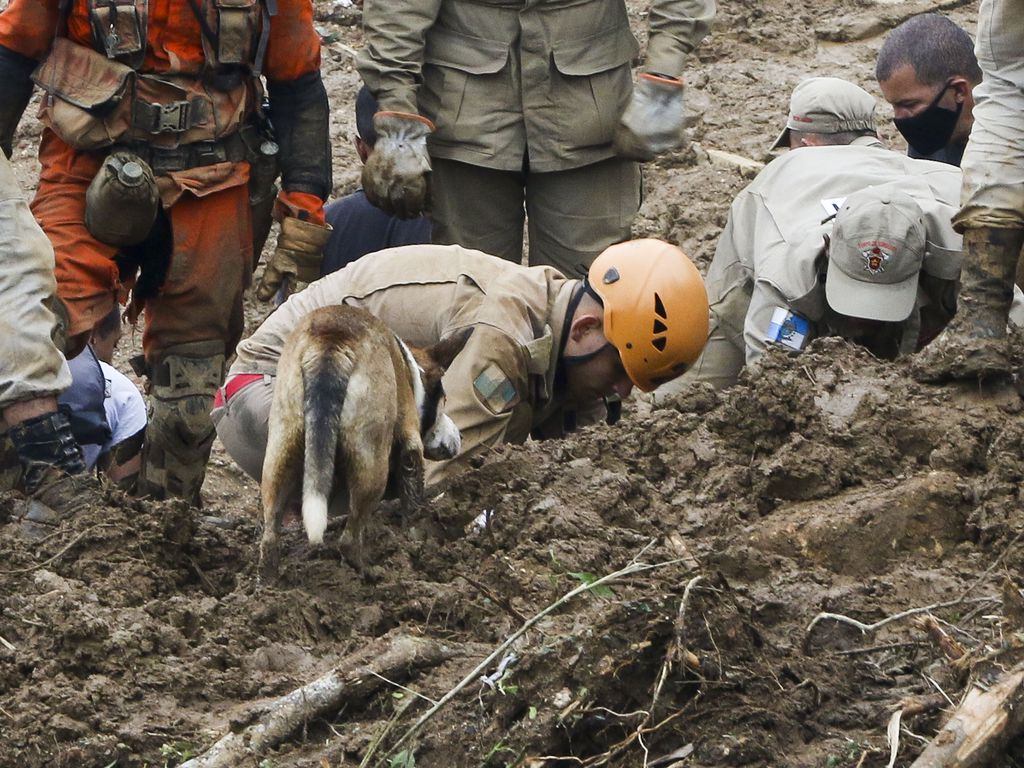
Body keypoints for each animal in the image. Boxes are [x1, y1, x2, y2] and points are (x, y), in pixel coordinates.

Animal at [260, 303, 475, 581]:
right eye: (444, 401)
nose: (461, 436)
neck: (410, 371)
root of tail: (332, 344)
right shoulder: (410, 445)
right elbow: (413, 496)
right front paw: (417, 538)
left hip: (281, 452)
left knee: (269, 537)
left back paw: (268, 583)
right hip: (372, 466)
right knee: (349, 540)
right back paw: (369, 572)